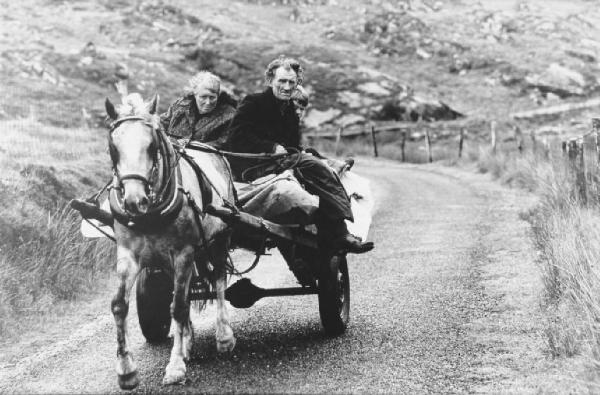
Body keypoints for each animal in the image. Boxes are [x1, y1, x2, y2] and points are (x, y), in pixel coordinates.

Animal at [104, 93, 236, 390]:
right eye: (113, 147)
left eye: (152, 144)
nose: (134, 201)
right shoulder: (129, 254)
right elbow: (119, 305)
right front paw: (126, 371)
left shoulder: (184, 253)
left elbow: (178, 306)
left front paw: (175, 367)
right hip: (166, 260)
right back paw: (186, 340)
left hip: (218, 239)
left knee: (218, 281)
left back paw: (223, 335)